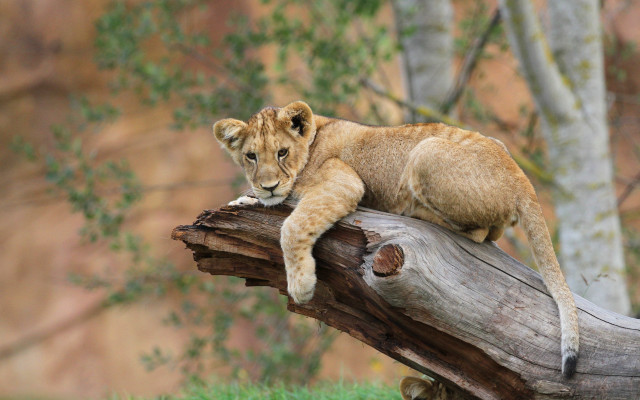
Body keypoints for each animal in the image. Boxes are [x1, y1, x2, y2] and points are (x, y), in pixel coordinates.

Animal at [213, 101, 579, 378]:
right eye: (251, 156)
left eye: (282, 152)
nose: (269, 186)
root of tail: (520, 176)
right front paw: (245, 200)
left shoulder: (344, 184)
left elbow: (292, 227)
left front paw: (301, 286)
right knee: (494, 231)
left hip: (425, 152)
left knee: (480, 233)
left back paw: (416, 212)